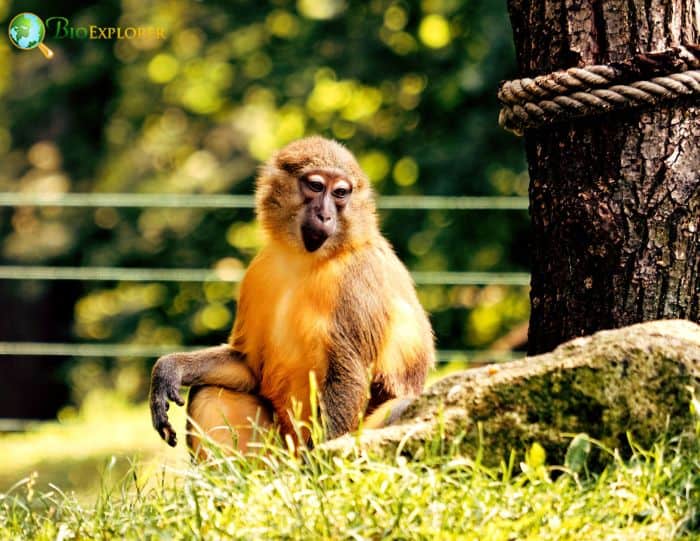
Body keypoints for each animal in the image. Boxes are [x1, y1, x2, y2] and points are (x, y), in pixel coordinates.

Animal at [150, 135, 434, 456]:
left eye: (340, 192)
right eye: (316, 186)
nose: (325, 214)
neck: (307, 258)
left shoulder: (358, 276)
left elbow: (349, 375)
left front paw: (320, 464)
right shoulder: (259, 271)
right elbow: (248, 367)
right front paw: (170, 369)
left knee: (400, 406)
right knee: (207, 392)